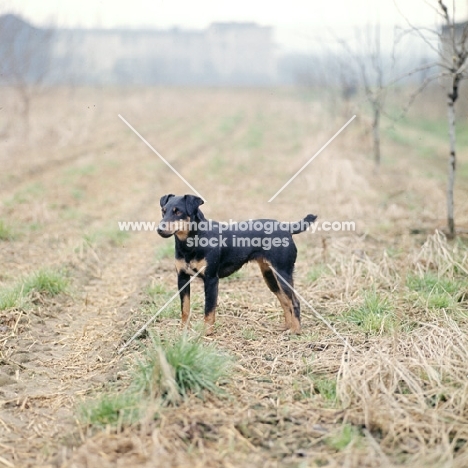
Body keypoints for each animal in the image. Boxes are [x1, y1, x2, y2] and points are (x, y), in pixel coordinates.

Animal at [158, 196, 318, 334]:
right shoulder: (182, 278)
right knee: (285, 301)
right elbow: (185, 308)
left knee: (294, 302)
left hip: (283, 273)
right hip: (270, 277)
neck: (191, 242)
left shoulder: (211, 280)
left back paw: (295, 330)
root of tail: (286, 228)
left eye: (178, 212)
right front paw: (183, 330)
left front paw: (206, 332)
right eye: (163, 211)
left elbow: (209, 309)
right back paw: (287, 327)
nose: (159, 229)